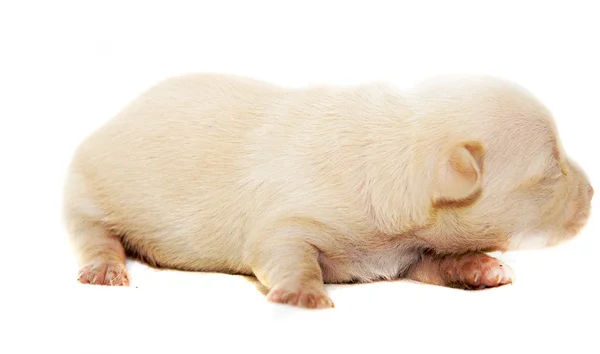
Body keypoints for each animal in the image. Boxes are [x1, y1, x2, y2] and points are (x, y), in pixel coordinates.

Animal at [63, 73, 592, 308]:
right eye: (551, 170)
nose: (592, 193)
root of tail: (115, 116)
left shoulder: (414, 252)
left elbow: (439, 263)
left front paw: (480, 267)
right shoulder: (284, 221)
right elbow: (286, 250)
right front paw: (303, 294)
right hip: (87, 189)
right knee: (93, 234)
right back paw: (106, 268)